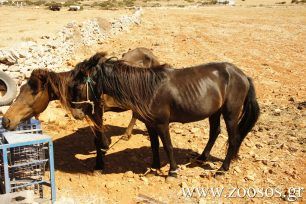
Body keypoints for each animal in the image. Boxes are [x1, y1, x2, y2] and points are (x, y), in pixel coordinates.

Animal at [70, 52, 260, 177]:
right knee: (214, 133)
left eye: (79, 85)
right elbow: (154, 145)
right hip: (215, 112)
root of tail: (242, 75)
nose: (76, 113)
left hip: (230, 113)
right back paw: (201, 158)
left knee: (234, 139)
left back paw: (222, 169)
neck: (147, 89)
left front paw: (172, 171)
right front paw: (154, 167)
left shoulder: (162, 123)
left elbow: (167, 146)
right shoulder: (150, 124)